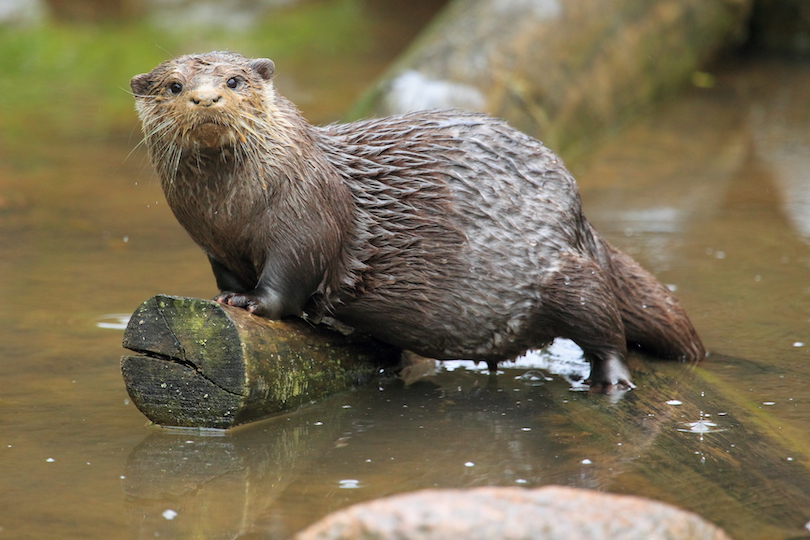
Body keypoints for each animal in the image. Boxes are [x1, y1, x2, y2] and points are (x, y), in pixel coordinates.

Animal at [129, 50, 704, 392]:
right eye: (175, 86)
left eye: (233, 79)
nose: (206, 97)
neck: (230, 211)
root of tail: (580, 214)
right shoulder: (213, 243)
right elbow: (226, 274)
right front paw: (224, 296)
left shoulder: (307, 216)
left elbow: (290, 277)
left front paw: (255, 304)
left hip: (566, 275)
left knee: (604, 324)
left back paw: (610, 382)